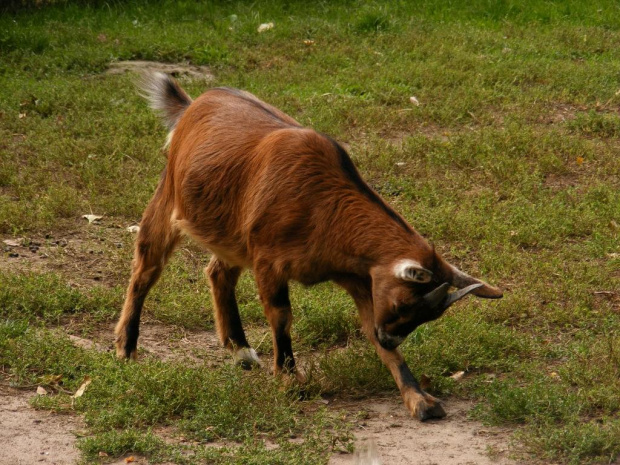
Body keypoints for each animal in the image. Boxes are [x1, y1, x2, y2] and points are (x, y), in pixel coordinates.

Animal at [115, 73, 504, 420]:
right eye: (404, 303)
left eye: (427, 316)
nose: (392, 338)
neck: (324, 207)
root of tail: (195, 104)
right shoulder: (269, 260)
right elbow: (282, 316)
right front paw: (290, 379)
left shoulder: (360, 276)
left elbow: (370, 332)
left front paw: (420, 401)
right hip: (170, 196)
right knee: (146, 266)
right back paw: (126, 347)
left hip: (231, 232)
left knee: (217, 272)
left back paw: (240, 351)